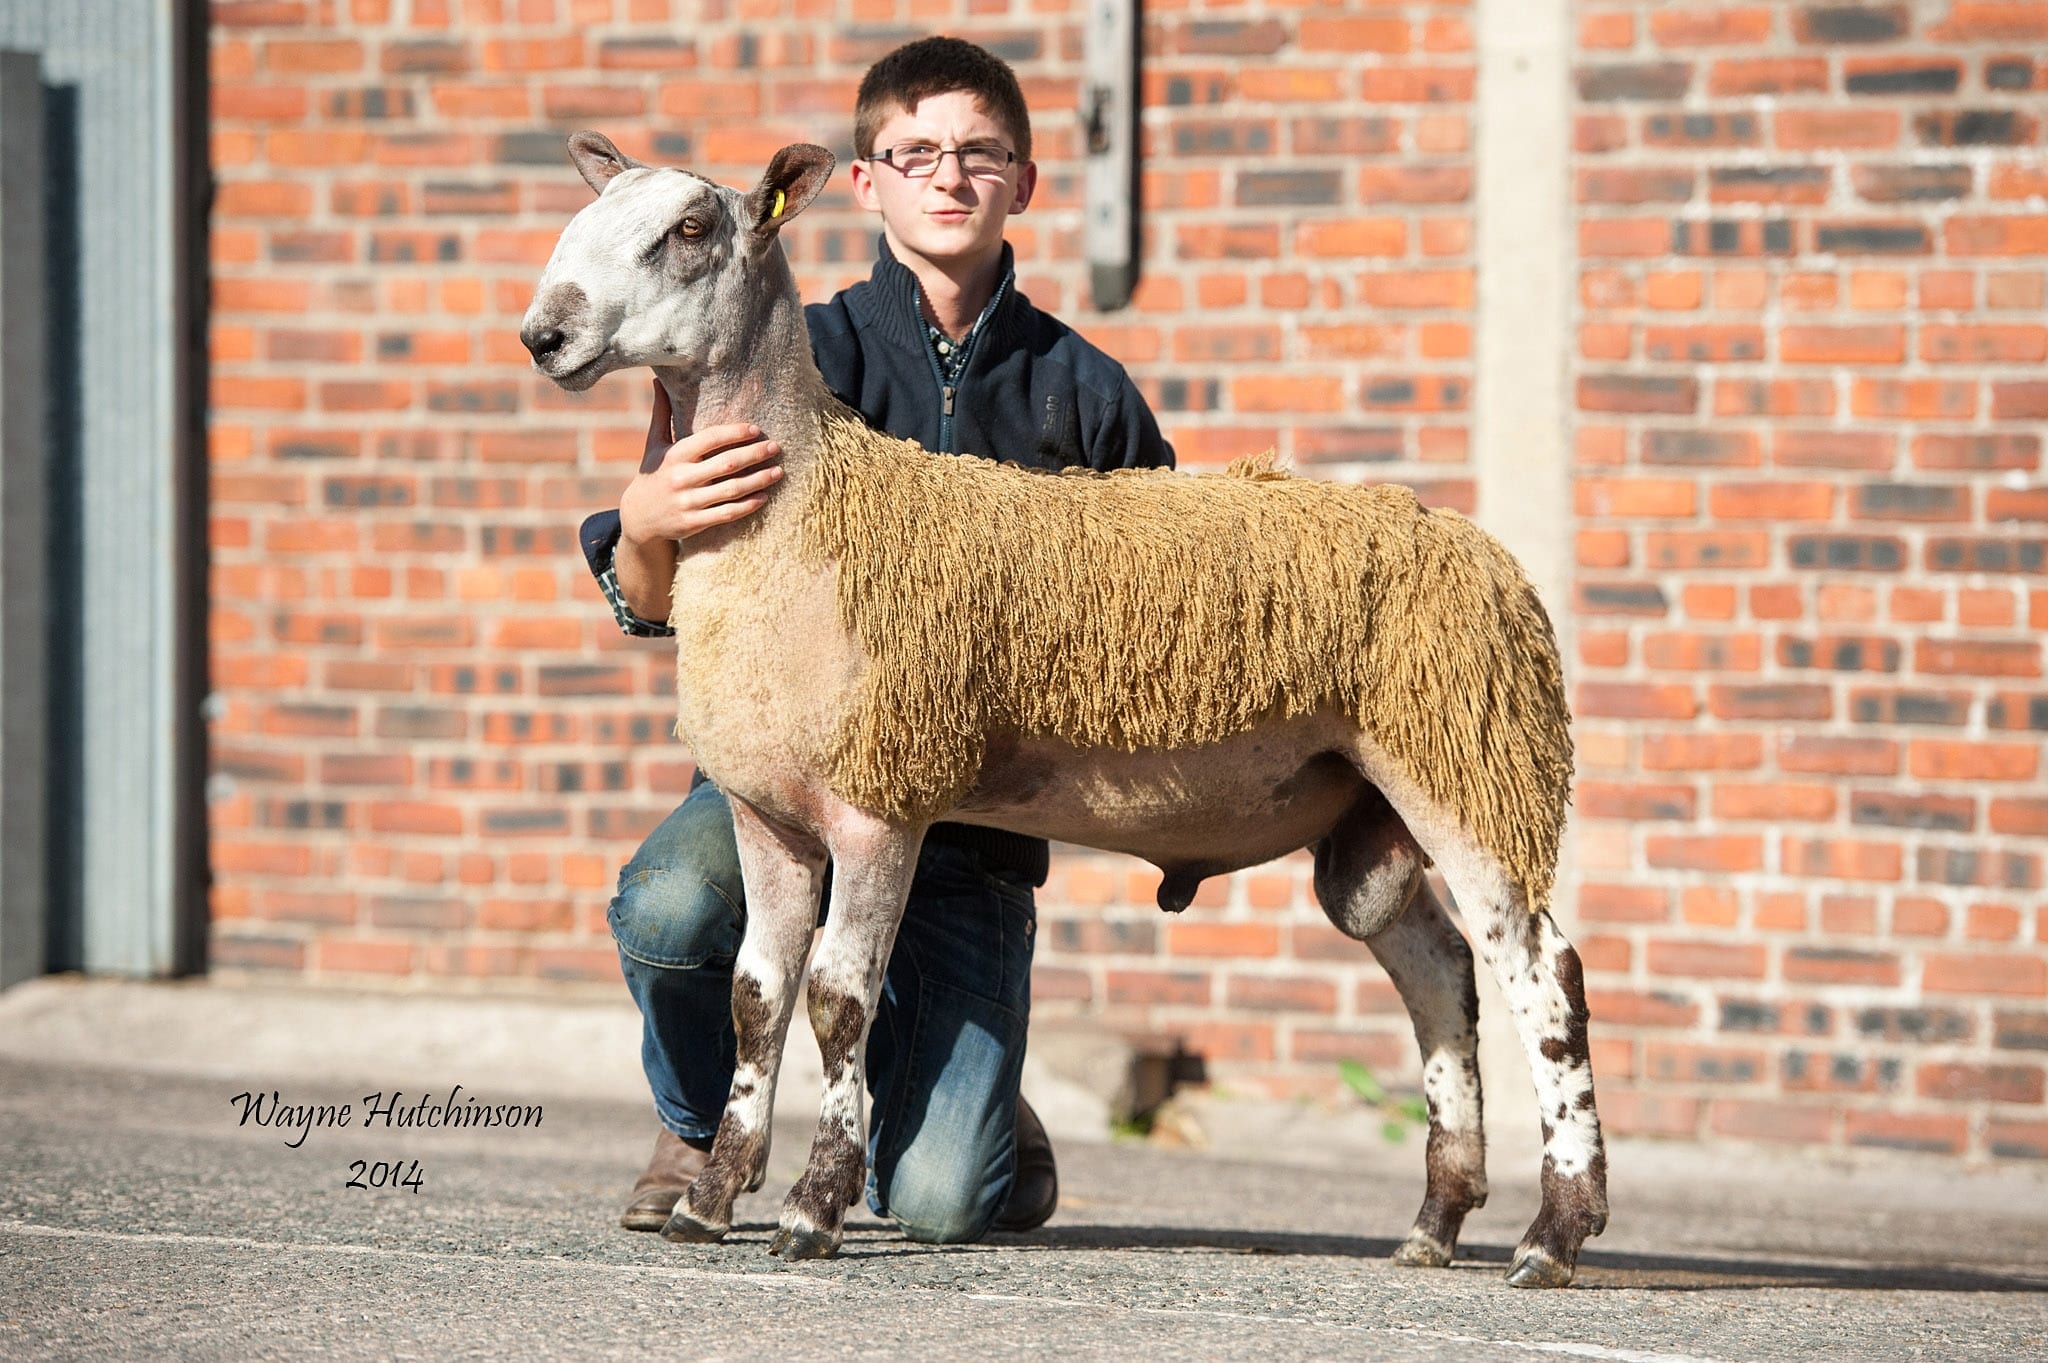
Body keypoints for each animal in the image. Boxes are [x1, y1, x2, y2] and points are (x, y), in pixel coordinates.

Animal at [520, 135, 1605, 1285]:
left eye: (689, 229)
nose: (543, 335)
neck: (805, 508)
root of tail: (1482, 552)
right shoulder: (766, 812)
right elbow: (756, 997)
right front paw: (710, 1198)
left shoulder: (881, 801)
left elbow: (837, 997)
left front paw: (812, 1209)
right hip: (1371, 817)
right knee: (1440, 972)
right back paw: (1435, 1221)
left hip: (1470, 764)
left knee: (1541, 971)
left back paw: (1552, 1233)